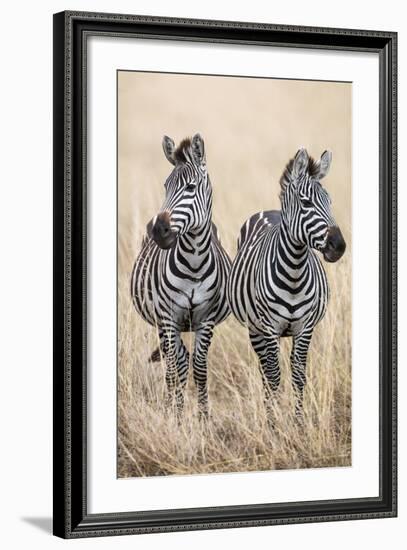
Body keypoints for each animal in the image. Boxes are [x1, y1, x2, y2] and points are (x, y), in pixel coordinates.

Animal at [131, 135, 233, 418]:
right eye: (166, 186)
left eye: (190, 187)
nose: (158, 230)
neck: (194, 263)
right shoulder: (168, 318)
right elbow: (176, 366)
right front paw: (176, 416)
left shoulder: (206, 320)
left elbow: (199, 367)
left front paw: (203, 417)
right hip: (161, 323)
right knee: (172, 363)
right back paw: (170, 408)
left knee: (184, 360)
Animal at [228, 148, 346, 418]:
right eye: (306, 203)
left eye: (330, 202)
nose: (339, 246)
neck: (294, 271)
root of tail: (270, 211)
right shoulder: (270, 327)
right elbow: (273, 378)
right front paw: (273, 423)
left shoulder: (305, 328)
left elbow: (298, 376)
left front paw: (299, 421)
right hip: (255, 329)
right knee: (265, 370)